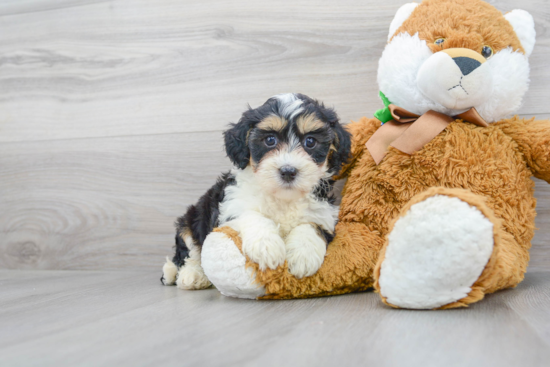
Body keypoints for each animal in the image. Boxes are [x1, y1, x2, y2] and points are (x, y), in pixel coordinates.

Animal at [163, 94, 354, 290]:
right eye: (270, 140)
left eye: (310, 142)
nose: (288, 171)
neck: (282, 197)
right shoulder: (232, 205)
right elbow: (251, 215)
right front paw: (267, 246)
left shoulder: (323, 212)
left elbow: (312, 225)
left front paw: (303, 254)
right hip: (193, 218)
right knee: (189, 253)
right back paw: (191, 275)